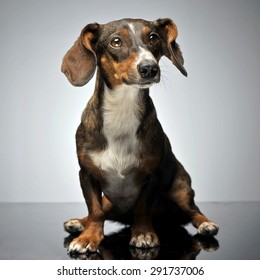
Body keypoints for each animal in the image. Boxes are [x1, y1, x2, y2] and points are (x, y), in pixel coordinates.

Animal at [60, 17, 217, 254]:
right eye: (116, 41)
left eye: (153, 38)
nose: (149, 68)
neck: (122, 110)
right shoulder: (86, 174)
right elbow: (95, 210)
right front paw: (88, 237)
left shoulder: (153, 175)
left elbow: (143, 206)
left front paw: (143, 233)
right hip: (110, 200)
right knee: (101, 211)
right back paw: (79, 222)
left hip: (181, 189)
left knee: (193, 211)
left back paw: (206, 224)